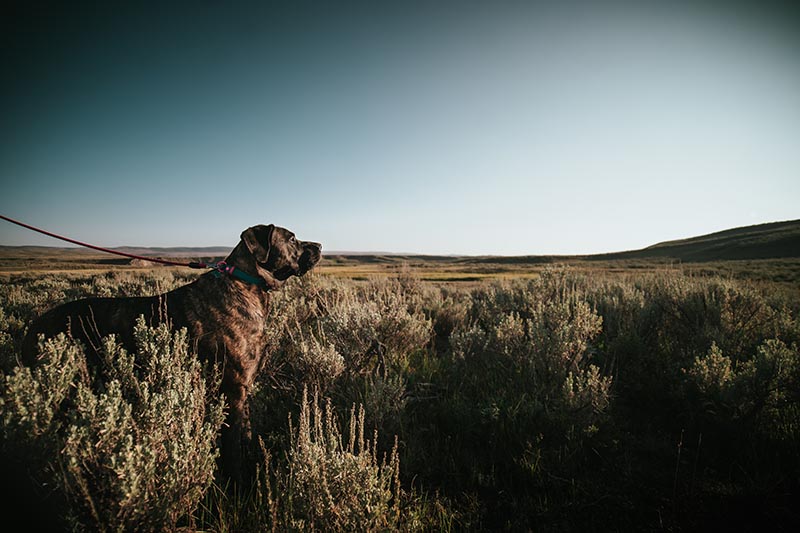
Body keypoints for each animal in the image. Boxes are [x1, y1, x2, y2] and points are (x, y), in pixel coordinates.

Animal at [21, 222, 322, 480]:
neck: (245, 283)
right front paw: (239, 484)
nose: (319, 245)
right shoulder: (233, 388)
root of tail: (32, 328)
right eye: (292, 238)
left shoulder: (243, 387)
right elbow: (233, 446)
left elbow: (246, 434)